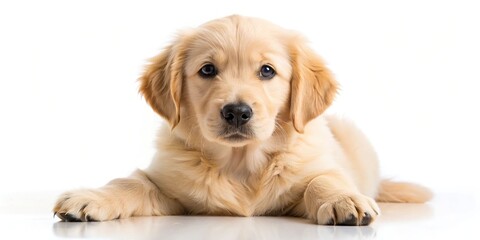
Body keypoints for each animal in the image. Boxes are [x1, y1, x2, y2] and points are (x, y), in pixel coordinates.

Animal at [52, 14, 432, 225]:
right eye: (207, 70)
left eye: (267, 71)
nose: (237, 111)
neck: (240, 163)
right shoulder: (167, 183)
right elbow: (129, 182)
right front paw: (90, 198)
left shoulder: (316, 167)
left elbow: (324, 179)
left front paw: (342, 200)